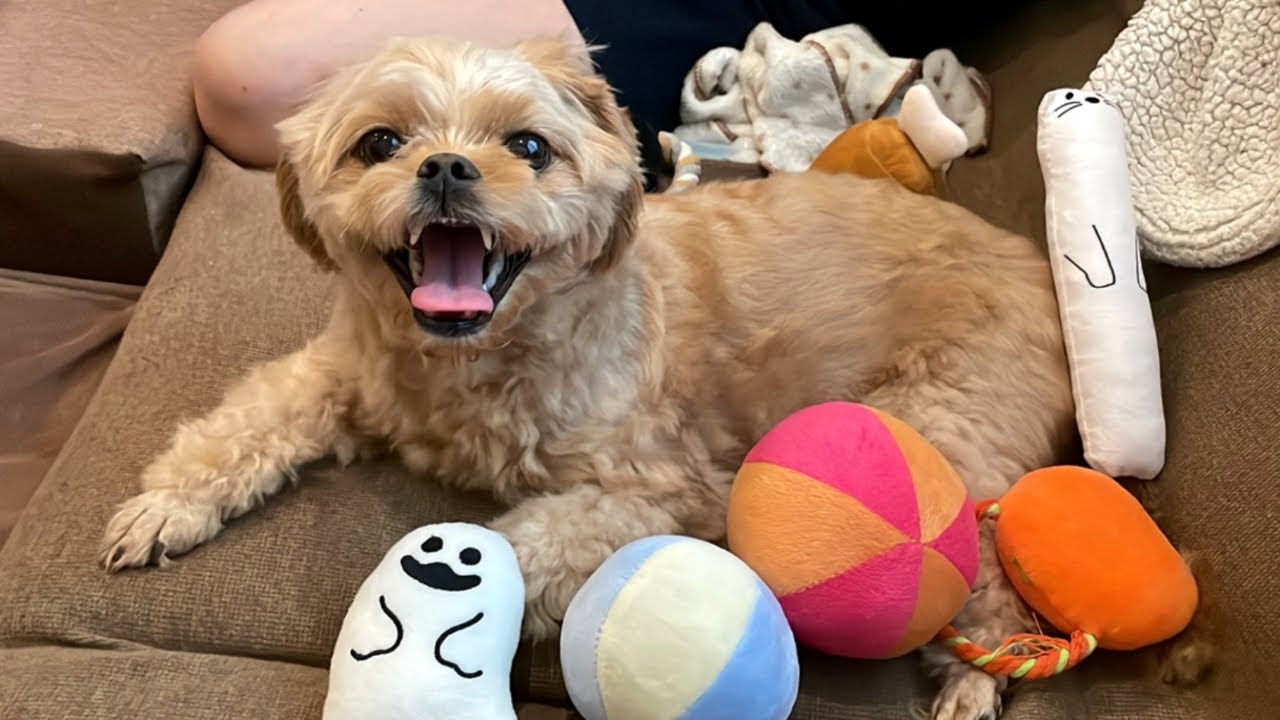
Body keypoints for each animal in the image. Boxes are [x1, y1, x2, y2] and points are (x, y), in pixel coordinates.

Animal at [101, 36, 1079, 719]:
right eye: (379, 142)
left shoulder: (669, 490)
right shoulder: (343, 371)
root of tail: (1035, 262)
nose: (446, 165)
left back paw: (973, 678)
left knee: (988, 574)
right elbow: (243, 423)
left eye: (529, 146)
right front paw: (165, 506)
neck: (472, 364)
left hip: (943, 427)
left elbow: (524, 543)